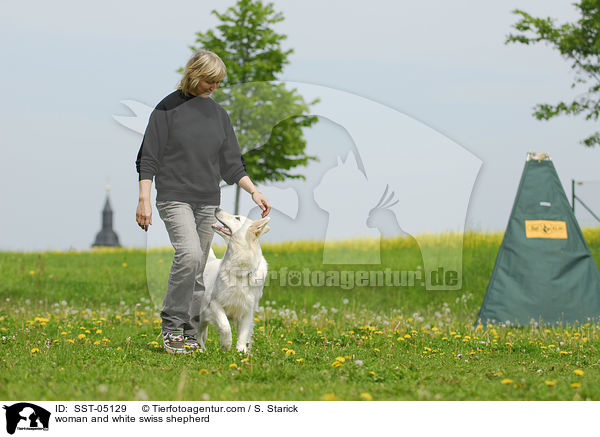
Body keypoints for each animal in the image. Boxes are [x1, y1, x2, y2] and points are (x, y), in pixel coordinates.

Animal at [197, 206, 270, 352]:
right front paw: (226, 344)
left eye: (237, 218)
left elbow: (243, 333)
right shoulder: (215, 304)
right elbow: (225, 326)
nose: (216, 207)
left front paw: (241, 351)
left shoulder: (247, 310)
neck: (241, 271)